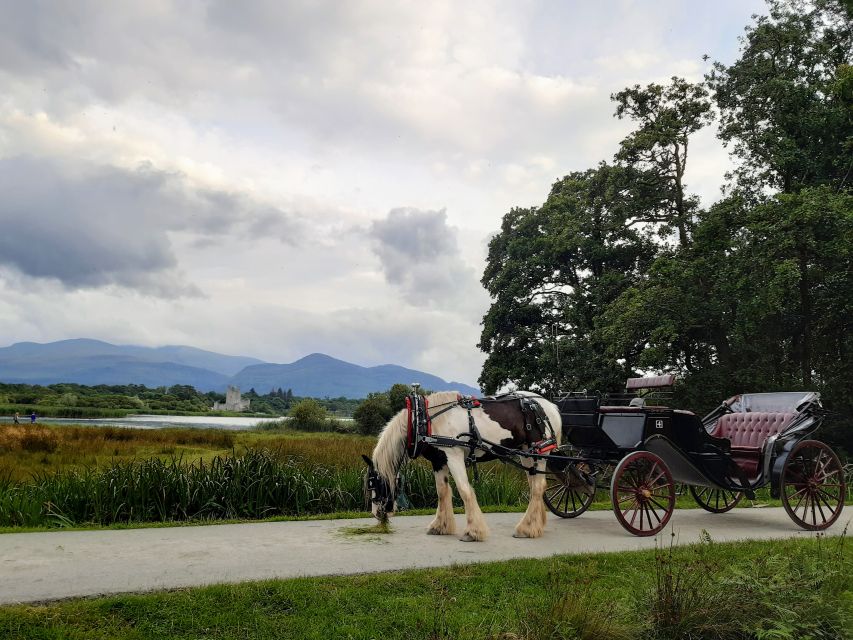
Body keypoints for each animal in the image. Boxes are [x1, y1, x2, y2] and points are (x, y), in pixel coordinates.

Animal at [362, 390, 564, 540]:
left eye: (374, 484)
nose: (376, 514)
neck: (423, 420)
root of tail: (549, 405)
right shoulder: (439, 461)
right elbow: (442, 491)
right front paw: (440, 526)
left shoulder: (454, 455)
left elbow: (464, 490)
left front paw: (473, 532)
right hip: (526, 454)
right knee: (533, 485)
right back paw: (536, 524)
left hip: (539, 452)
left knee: (538, 487)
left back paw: (526, 529)